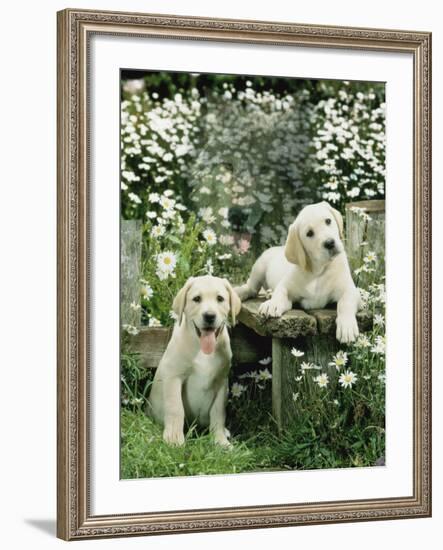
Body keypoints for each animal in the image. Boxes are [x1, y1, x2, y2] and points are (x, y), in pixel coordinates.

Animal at [147, 276, 241, 448]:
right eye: (197, 299)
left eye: (220, 299)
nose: (209, 316)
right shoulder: (174, 377)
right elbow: (176, 408)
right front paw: (174, 439)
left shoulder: (221, 381)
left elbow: (218, 412)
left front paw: (220, 441)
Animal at [236, 203, 360, 342]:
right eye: (309, 233)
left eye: (328, 221)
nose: (330, 243)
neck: (318, 270)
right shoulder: (286, 286)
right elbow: (280, 292)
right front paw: (273, 303)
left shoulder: (351, 290)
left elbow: (345, 302)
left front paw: (347, 326)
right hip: (259, 266)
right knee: (250, 287)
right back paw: (240, 292)